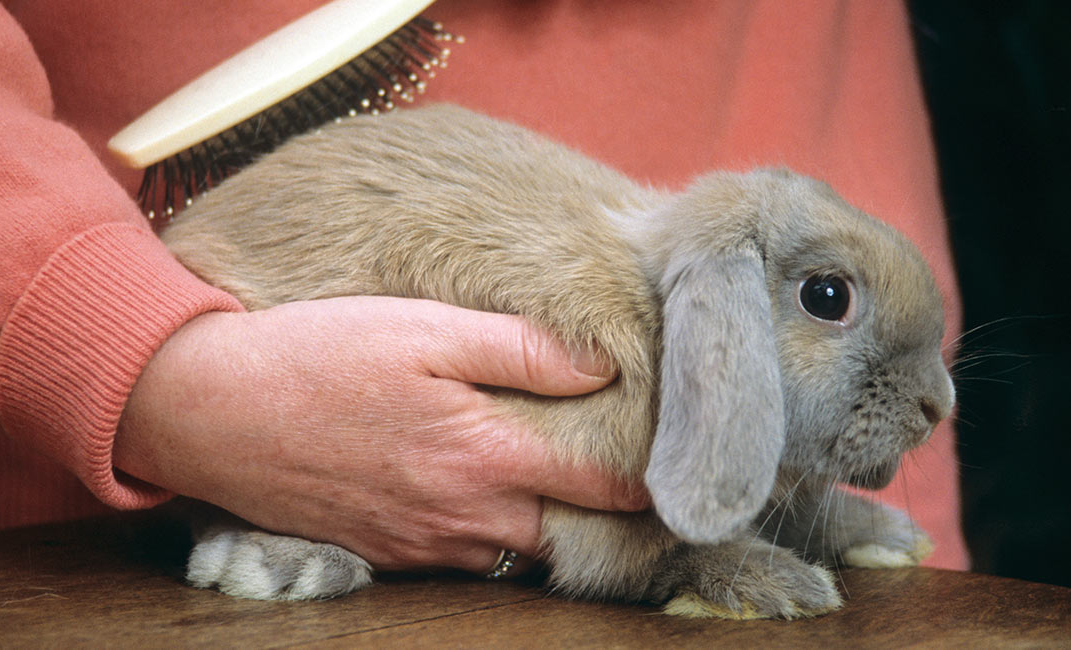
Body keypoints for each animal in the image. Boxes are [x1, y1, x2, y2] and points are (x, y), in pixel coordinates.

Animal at [160, 102, 955, 621]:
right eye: (827, 296)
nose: (937, 404)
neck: (654, 319)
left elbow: (807, 511)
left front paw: (888, 540)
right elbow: (648, 556)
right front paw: (778, 586)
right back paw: (282, 565)